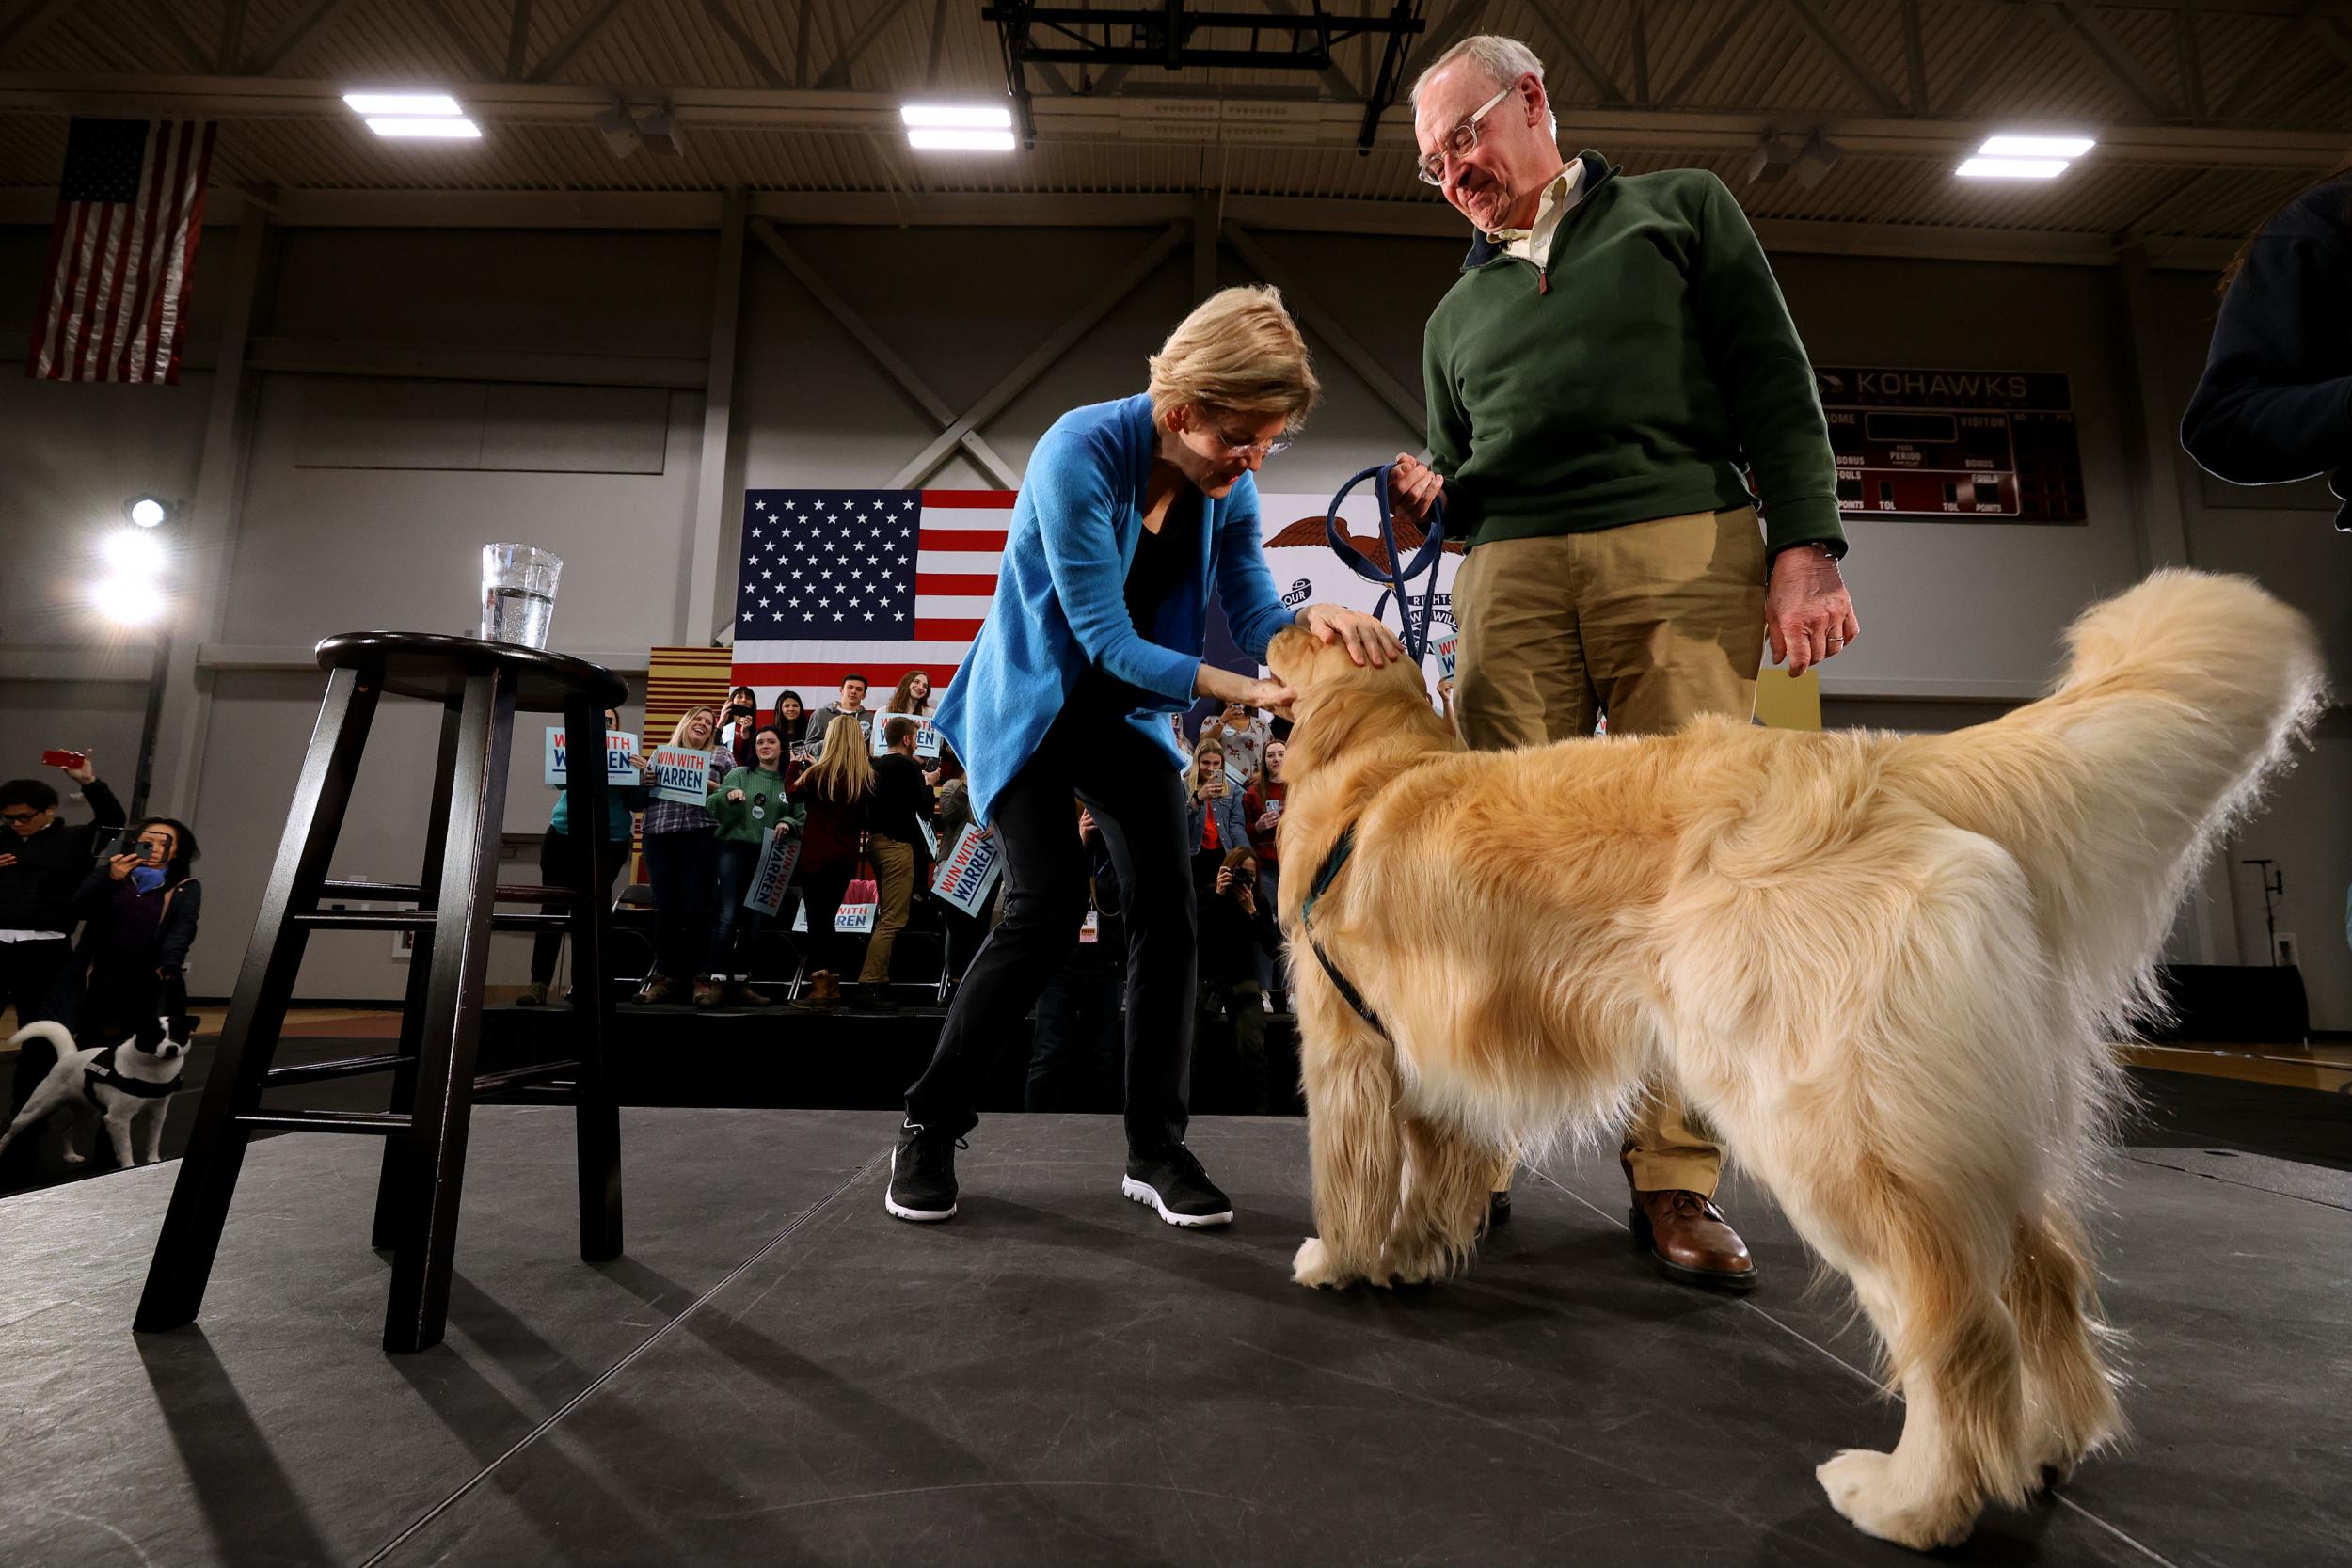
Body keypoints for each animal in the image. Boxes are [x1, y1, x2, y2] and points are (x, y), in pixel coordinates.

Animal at [0, 1010, 196, 1170]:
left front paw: (154, 1161)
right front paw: (129, 1167)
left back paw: (70, 1156)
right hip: (36, 1110)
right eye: (155, 1037)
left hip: (86, 1114)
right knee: (8, 1134)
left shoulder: (157, 1113)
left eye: (179, 1036)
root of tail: (67, 1057)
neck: (153, 1071)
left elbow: (153, 1141)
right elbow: (126, 1148)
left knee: (66, 1132)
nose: (172, 1049)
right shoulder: (117, 1119)